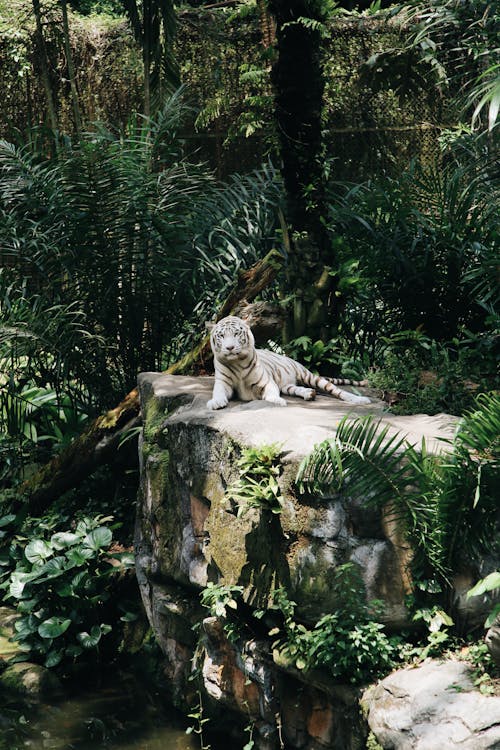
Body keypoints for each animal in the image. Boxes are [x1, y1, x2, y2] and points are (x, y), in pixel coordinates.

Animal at [205, 318, 370, 412]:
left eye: (236, 334)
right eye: (221, 336)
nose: (230, 348)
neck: (237, 362)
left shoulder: (267, 382)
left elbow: (271, 394)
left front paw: (277, 401)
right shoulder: (223, 382)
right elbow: (218, 392)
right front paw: (216, 402)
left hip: (309, 376)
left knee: (336, 390)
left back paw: (360, 400)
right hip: (287, 385)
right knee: (296, 388)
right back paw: (309, 393)